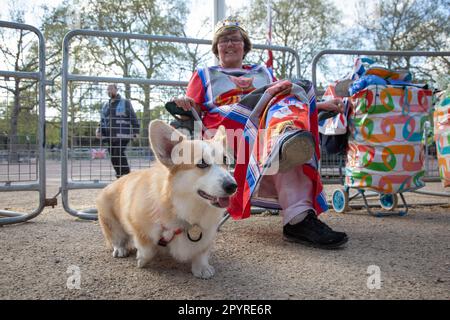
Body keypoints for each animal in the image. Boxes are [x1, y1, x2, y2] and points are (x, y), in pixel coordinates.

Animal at [96, 120, 237, 278]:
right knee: (116, 238)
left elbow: (201, 251)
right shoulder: (136, 223)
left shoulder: (207, 233)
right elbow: (146, 248)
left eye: (226, 160)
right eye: (202, 163)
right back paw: (120, 249)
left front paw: (202, 267)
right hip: (108, 217)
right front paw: (142, 260)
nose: (233, 186)